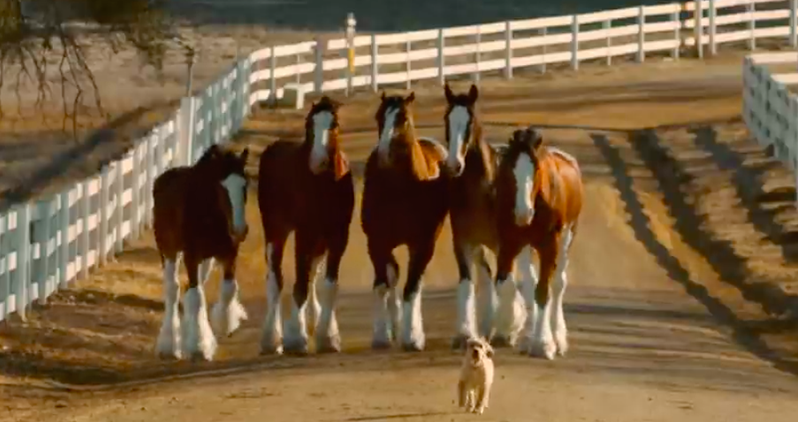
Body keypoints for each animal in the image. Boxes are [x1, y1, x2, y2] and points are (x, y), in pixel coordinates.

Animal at [152, 143, 248, 362]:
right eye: (223, 188)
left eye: (244, 186)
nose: (240, 230)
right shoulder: (191, 256)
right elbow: (194, 297)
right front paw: (198, 347)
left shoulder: (228, 253)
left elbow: (228, 289)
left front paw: (225, 325)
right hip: (168, 251)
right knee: (173, 289)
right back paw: (169, 345)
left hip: (206, 260)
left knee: (195, 288)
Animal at [258, 96, 354, 356]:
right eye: (309, 125)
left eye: (335, 124)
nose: (318, 162)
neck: (323, 185)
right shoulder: (304, 233)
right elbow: (298, 283)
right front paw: (295, 337)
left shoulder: (338, 236)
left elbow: (328, 284)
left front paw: (328, 337)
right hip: (275, 231)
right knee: (275, 280)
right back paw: (271, 339)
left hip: (319, 240)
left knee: (311, 273)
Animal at [360, 90, 450, 352]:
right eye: (379, 116)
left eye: (404, 119)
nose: (383, 154)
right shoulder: (376, 243)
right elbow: (382, 284)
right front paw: (381, 336)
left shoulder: (422, 243)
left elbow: (412, 287)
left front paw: (412, 338)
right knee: (394, 276)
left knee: (414, 283)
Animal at [444, 83, 536, 350]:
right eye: (447, 119)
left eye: (469, 122)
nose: (453, 165)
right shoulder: (463, 242)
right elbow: (468, 283)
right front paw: (466, 333)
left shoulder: (505, 244)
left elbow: (506, 282)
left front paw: (508, 330)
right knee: (486, 277)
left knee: (528, 279)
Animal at [496, 128, 584, 360]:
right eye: (510, 168)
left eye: (536, 169)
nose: (523, 213)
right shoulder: (508, 242)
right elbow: (508, 285)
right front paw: (508, 330)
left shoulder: (549, 246)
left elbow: (543, 290)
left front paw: (543, 344)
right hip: (526, 247)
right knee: (530, 281)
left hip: (567, 238)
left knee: (558, 283)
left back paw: (558, 337)